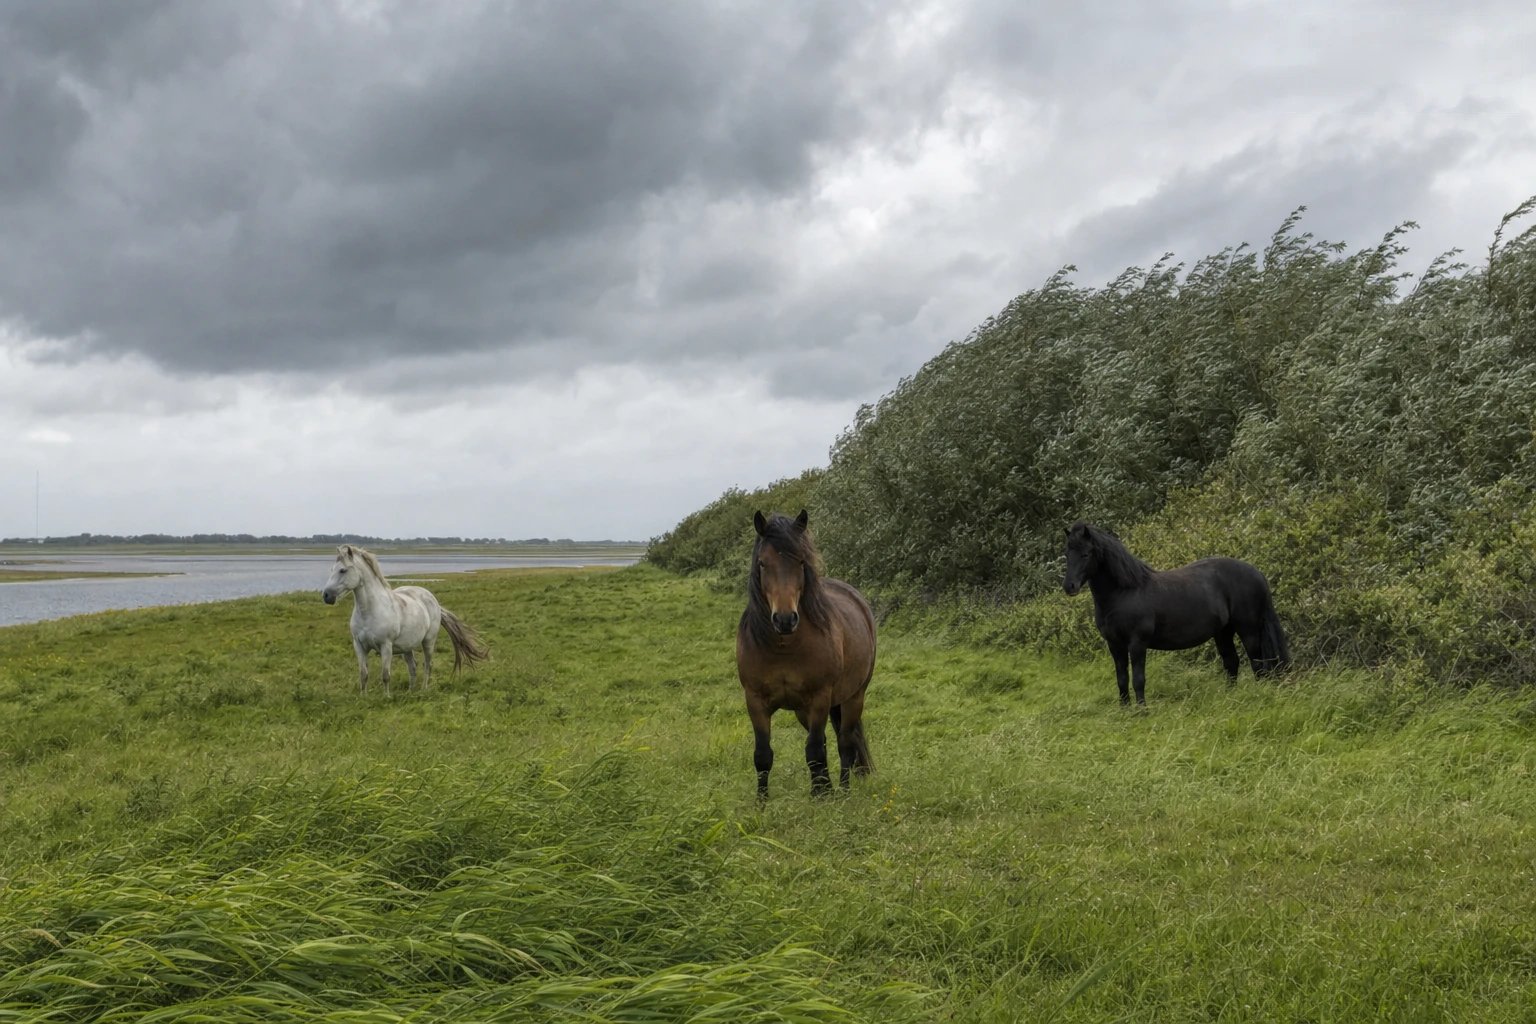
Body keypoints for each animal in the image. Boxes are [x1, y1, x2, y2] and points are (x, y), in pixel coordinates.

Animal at [321, 544, 488, 695]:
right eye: (331, 570)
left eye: (343, 570)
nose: (327, 596)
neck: (369, 612)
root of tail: (433, 600)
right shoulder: (359, 646)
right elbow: (363, 675)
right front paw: (363, 698)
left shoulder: (386, 646)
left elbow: (385, 675)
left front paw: (386, 697)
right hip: (406, 647)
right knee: (413, 667)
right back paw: (410, 691)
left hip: (428, 641)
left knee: (428, 665)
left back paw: (423, 690)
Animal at [735, 509, 877, 800]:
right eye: (763, 564)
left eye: (801, 561)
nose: (785, 619)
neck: (783, 647)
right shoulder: (755, 701)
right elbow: (763, 755)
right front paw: (762, 803)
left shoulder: (819, 698)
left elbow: (814, 750)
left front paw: (821, 797)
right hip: (805, 710)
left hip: (853, 697)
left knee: (845, 742)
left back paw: (844, 790)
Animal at [1062, 521, 1290, 706]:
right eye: (1067, 554)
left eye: (1085, 554)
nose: (1069, 586)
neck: (1124, 593)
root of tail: (1257, 573)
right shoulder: (1114, 644)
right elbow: (1122, 679)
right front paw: (1125, 709)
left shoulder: (1137, 643)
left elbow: (1138, 679)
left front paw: (1142, 711)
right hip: (1223, 632)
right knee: (1232, 662)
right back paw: (1229, 698)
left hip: (1248, 631)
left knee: (1258, 665)